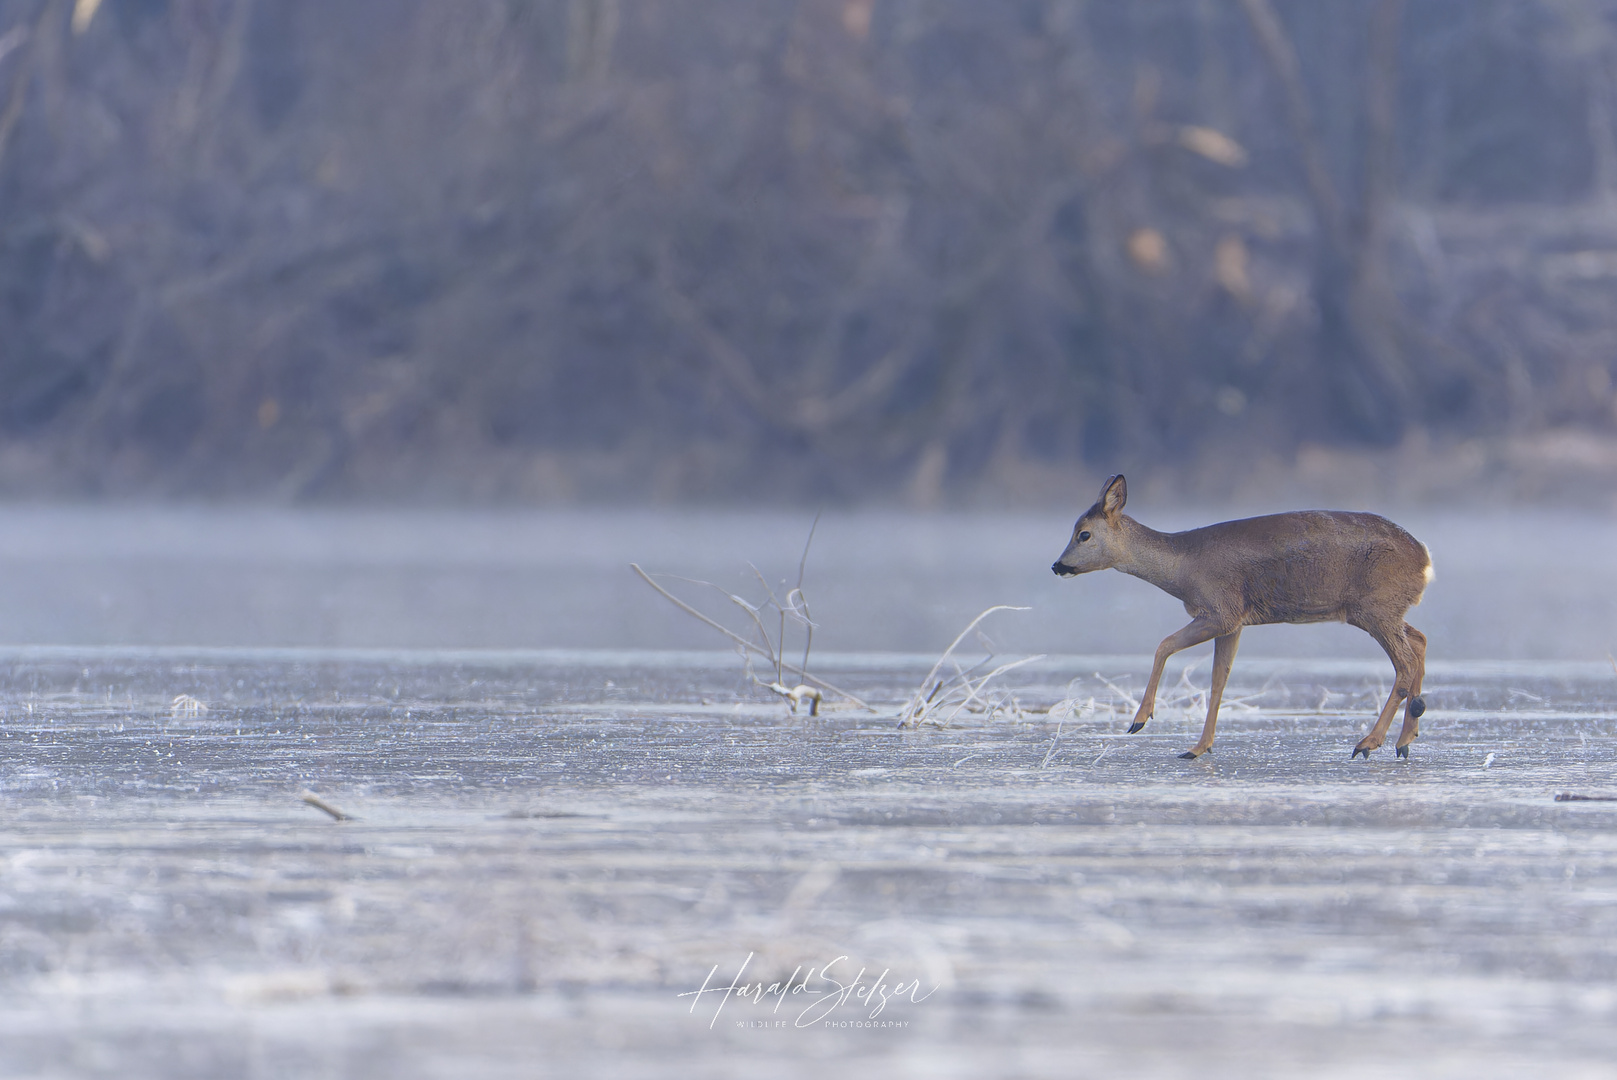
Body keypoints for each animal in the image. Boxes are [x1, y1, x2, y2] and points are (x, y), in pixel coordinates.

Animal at [1054, 472, 1435, 759]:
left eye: (1083, 534)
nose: (1057, 565)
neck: (1182, 568)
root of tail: (1424, 558)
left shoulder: (1221, 610)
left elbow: (1164, 645)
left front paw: (1140, 719)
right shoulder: (1234, 624)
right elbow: (1218, 680)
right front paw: (1198, 747)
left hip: (1374, 607)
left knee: (1404, 662)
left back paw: (1368, 743)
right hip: (1383, 609)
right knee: (1419, 641)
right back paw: (1406, 736)